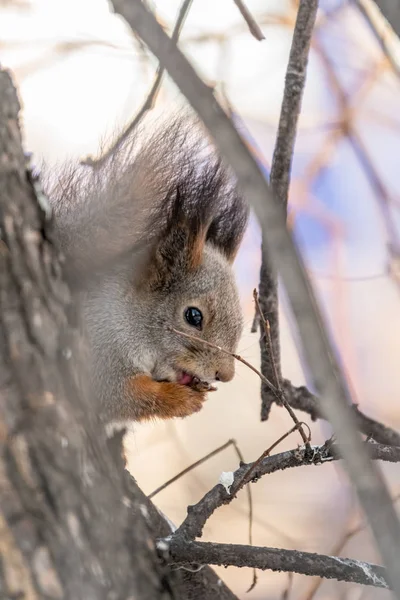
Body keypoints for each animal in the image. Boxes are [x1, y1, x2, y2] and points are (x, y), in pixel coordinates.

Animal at [45, 115, 248, 426]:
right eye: (193, 316)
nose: (224, 375)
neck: (130, 317)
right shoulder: (102, 351)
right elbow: (122, 396)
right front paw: (182, 399)